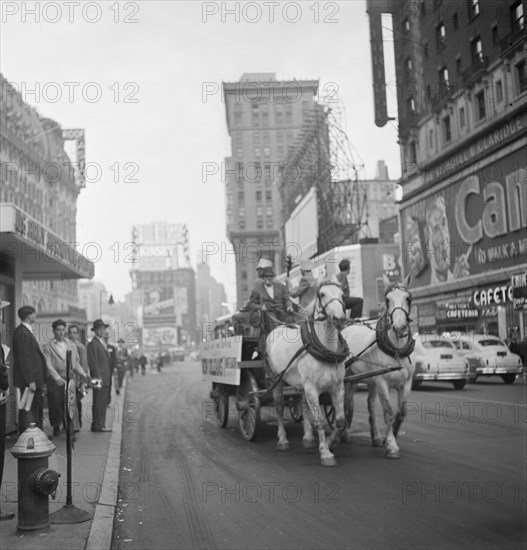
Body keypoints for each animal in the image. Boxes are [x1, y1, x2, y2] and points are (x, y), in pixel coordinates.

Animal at [268, 282, 350, 468]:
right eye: (322, 294)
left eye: (342, 294)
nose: (340, 318)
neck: (326, 350)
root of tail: (279, 326)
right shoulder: (312, 387)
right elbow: (319, 421)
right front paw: (326, 453)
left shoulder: (337, 386)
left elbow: (340, 419)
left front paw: (332, 441)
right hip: (277, 379)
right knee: (278, 407)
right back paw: (282, 440)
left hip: (301, 384)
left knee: (303, 404)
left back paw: (308, 438)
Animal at [342, 276, 416, 462]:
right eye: (387, 300)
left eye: (408, 298)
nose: (399, 327)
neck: (396, 350)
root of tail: (347, 327)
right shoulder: (382, 382)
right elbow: (388, 412)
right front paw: (391, 446)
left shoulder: (406, 383)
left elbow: (400, 412)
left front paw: (388, 439)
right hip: (348, 378)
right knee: (346, 403)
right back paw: (345, 433)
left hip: (370, 380)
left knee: (371, 405)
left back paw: (375, 437)